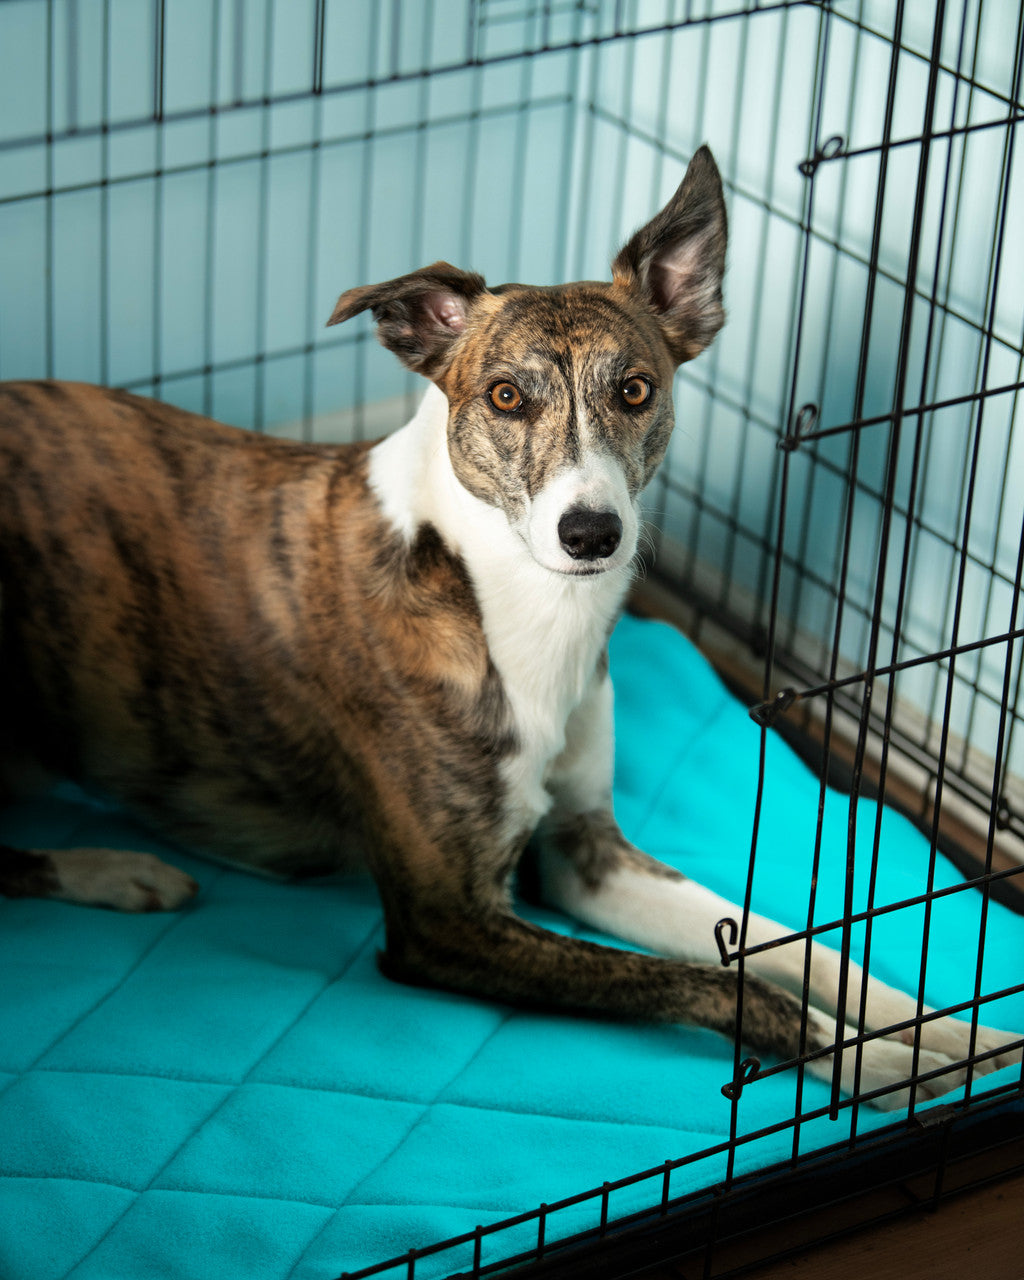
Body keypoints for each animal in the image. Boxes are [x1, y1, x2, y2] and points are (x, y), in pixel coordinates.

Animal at [0, 147, 1013, 1111]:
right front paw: (883, 1062)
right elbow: (721, 985)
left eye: (636, 390)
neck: (515, 607)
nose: (591, 533)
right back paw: (113, 870)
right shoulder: (445, 920)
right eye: (504, 397)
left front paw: (952, 1028)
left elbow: (796, 945)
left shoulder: (585, 855)